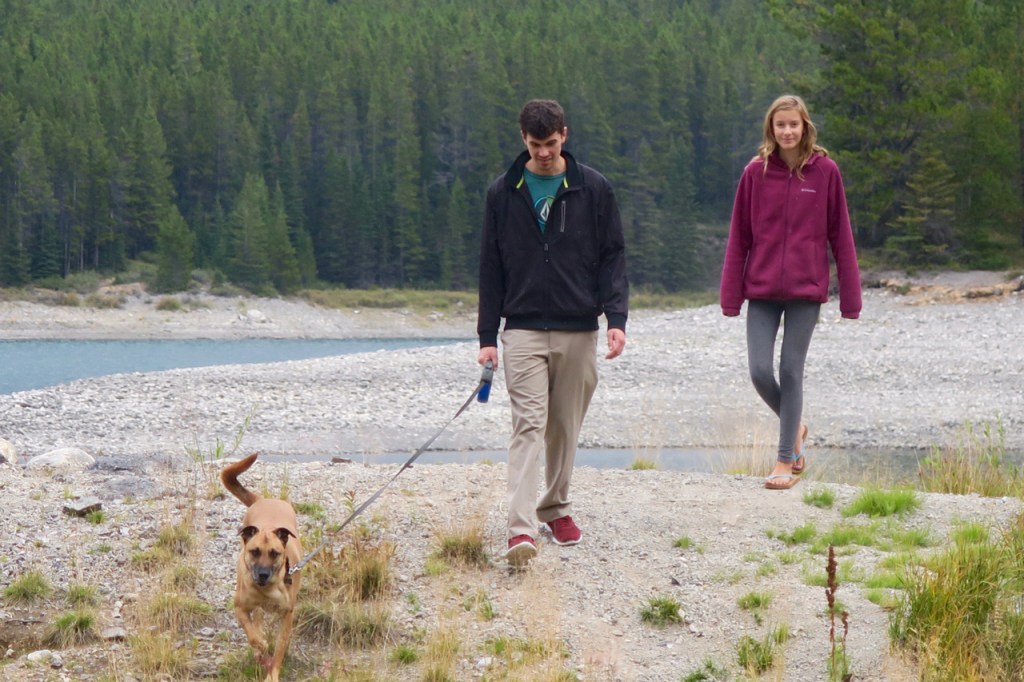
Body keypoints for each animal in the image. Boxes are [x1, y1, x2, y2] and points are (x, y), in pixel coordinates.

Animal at [221, 453, 302, 682]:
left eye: (275, 553)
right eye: (255, 551)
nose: (263, 575)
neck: (268, 590)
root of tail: (263, 500)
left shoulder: (287, 616)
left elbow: (279, 651)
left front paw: (272, 673)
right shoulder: (240, 607)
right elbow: (252, 634)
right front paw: (260, 646)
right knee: (256, 618)